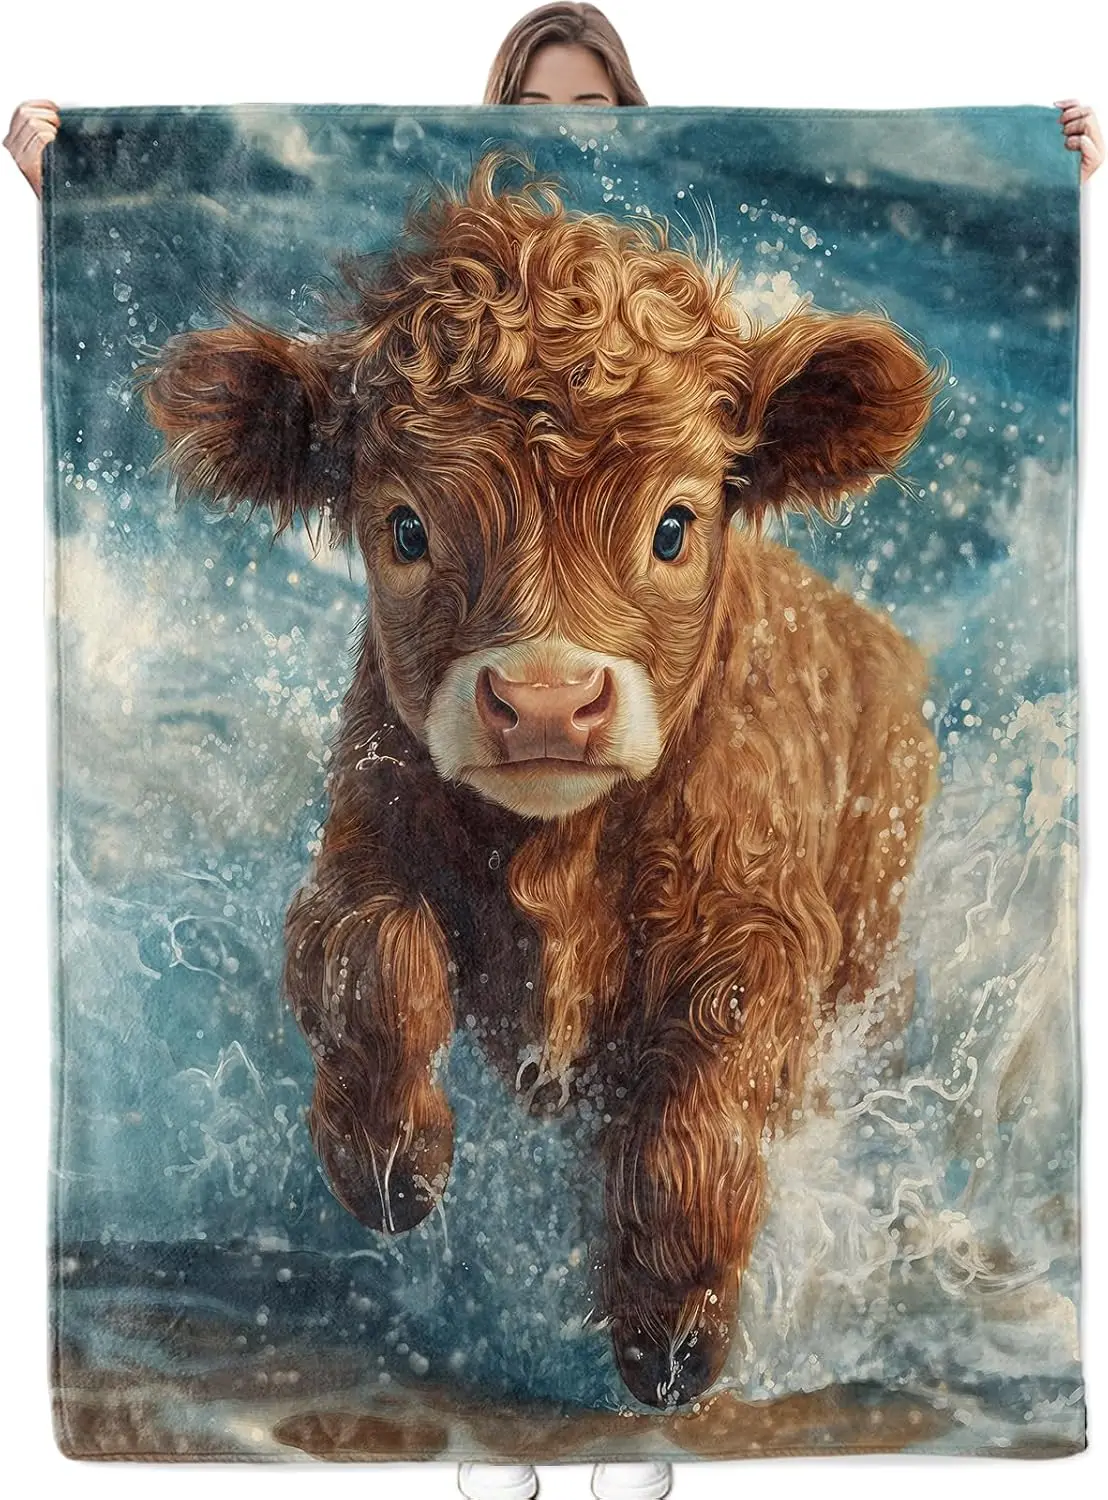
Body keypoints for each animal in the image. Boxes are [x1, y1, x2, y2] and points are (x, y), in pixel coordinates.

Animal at [142, 151, 941, 1410]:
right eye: (405, 529)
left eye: (673, 526)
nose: (550, 699)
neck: (560, 858)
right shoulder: (357, 850)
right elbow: (371, 961)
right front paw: (390, 1159)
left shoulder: (762, 928)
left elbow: (700, 1102)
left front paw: (671, 1330)